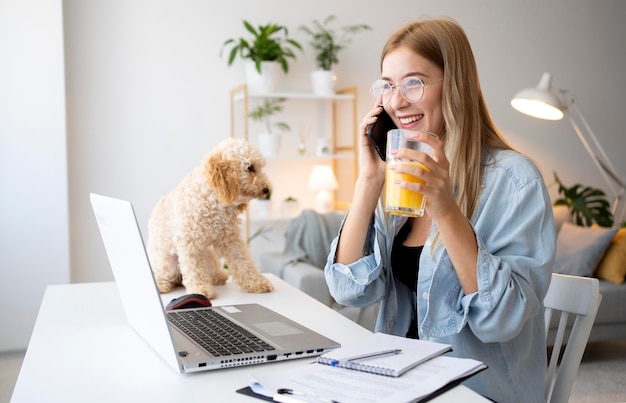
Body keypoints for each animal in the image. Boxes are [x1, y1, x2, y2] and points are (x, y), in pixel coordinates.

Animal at [147, 139, 274, 300]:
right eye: (250, 167)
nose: (267, 190)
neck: (213, 197)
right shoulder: (190, 243)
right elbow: (194, 269)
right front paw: (200, 290)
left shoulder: (231, 239)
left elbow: (243, 261)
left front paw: (256, 282)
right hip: (165, 262)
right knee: (163, 275)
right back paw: (161, 285)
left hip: (209, 257)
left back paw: (219, 276)